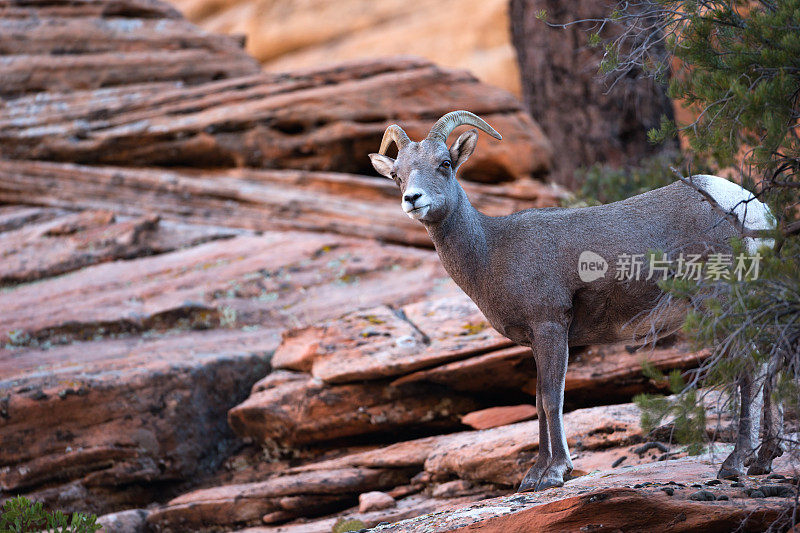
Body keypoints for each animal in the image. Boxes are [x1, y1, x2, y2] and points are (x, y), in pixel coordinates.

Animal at [372, 111, 780, 490]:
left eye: (444, 163)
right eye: (397, 175)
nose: (413, 199)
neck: (490, 250)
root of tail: (752, 210)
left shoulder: (551, 327)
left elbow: (553, 398)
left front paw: (554, 474)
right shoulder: (536, 341)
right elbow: (539, 402)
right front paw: (533, 477)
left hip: (721, 302)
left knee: (751, 365)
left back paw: (734, 464)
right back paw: (763, 461)